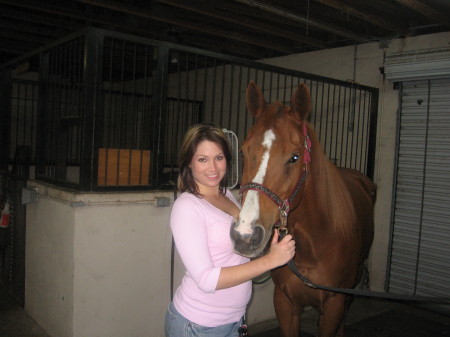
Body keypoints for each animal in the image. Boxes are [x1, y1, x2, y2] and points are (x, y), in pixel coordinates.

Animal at [230, 81, 374, 336]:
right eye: (243, 152)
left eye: (294, 157)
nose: (244, 236)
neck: (313, 243)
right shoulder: (285, 303)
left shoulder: (333, 305)